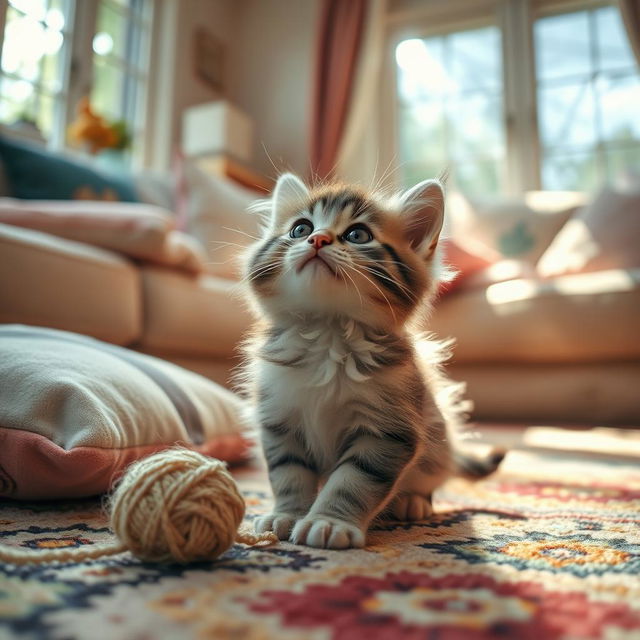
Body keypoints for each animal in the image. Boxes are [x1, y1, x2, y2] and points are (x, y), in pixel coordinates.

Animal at [240, 174, 504, 552]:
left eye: (357, 235)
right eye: (300, 228)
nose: (317, 239)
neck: (329, 333)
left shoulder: (389, 429)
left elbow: (353, 481)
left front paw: (328, 521)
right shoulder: (280, 419)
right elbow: (288, 473)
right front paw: (286, 513)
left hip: (435, 436)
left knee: (427, 479)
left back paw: (412, 501)